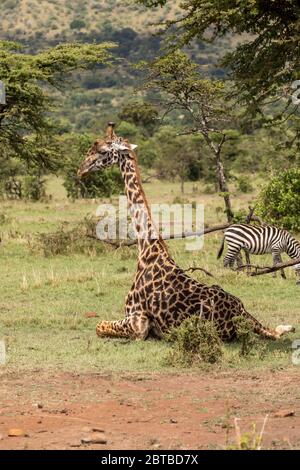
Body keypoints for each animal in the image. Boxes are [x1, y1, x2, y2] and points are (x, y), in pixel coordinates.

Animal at [76, 123, 294, 340]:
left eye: (102, 149)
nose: (81, 170)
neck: (146, 249)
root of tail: (241, 315)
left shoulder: (138, 323)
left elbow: (98, 326)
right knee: (274, 330)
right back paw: (287, 327)